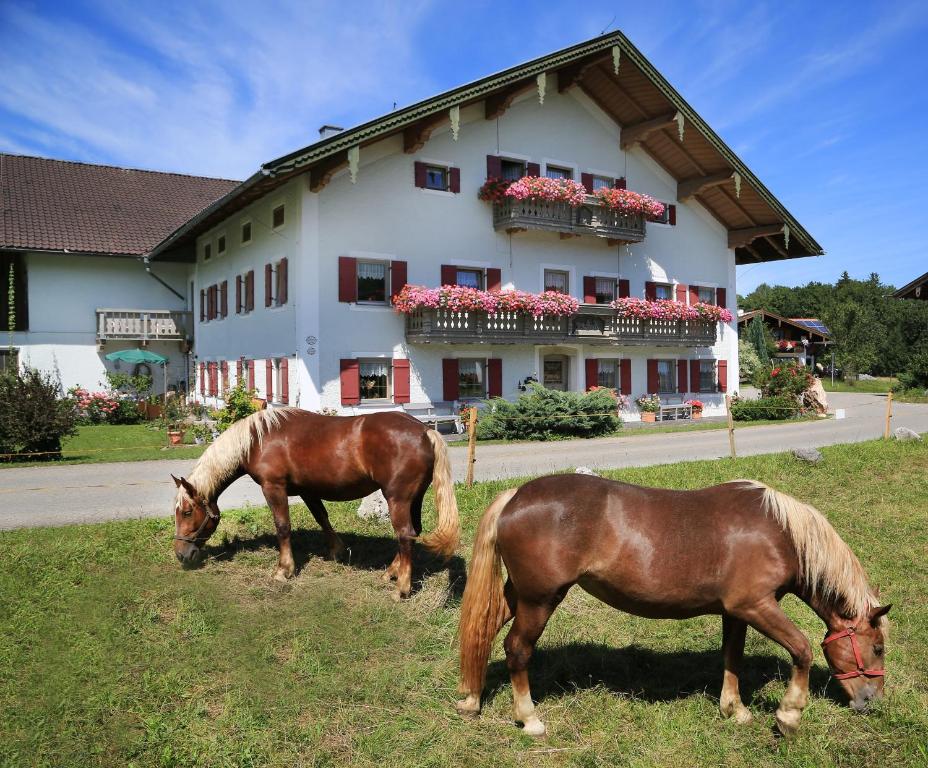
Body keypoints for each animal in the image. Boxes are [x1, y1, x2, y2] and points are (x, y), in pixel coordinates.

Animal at [170, 412, 460, 596]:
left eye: (187, 512)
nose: (181, 555)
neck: (258, 439)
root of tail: (425, 430)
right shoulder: (308, 491)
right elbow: (322, 517)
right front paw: (337, 551)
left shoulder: (274, 487)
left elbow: (283, 526)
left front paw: (284, 570)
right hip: (414, 498)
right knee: (413, 533)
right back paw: (391, 573)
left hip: (397, 499)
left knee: (405, 535)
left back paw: (402, 587)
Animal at [458, 474, 892, 736]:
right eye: (877, 647)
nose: (870, 702)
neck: (779, 532)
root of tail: (516, 496)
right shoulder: (756, 606)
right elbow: (801, 649)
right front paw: (789, 715)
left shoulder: (736, 612)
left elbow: (732, 658)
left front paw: (734, 709)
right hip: (540, 600)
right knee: (517, 650)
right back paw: (529, 719)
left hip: (520, 597)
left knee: (483, 632)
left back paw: (471, 700)